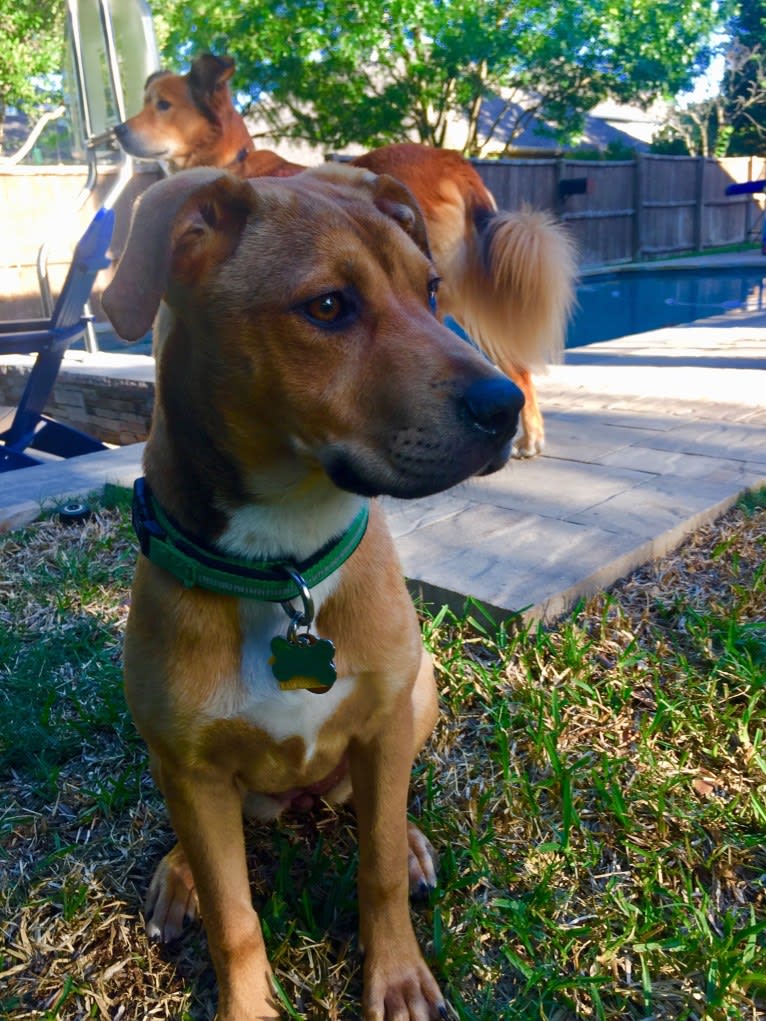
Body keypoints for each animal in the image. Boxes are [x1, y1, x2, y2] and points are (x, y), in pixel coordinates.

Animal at [102, 163, 527, 1016]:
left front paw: (397, 975)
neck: (285, 564)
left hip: (418, 694)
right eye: (328, 306)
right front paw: (245, 1001)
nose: (507, 407)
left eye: (432, 289)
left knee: (381, 805)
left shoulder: (384, 725)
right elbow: (234, 915)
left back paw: (412, 839)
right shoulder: (192, 768)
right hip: (176, 765)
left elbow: (380, 867)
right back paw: (177, 872)